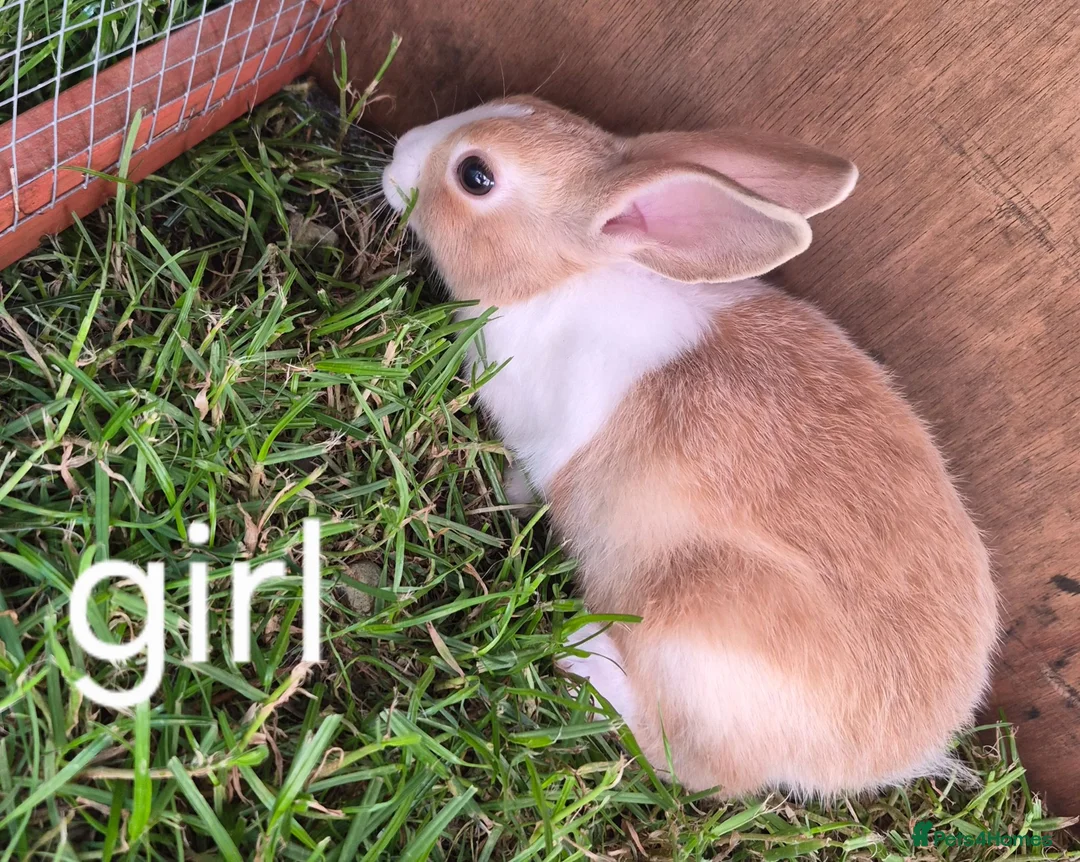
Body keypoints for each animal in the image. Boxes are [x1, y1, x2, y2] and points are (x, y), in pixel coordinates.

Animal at [381, 96, 998, 798]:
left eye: (476, 176)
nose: (399, 152)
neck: (563, 277)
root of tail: (887, 759)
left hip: (694, 637)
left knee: (693, 771)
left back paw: (583, 658)